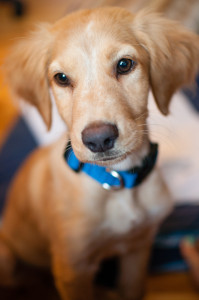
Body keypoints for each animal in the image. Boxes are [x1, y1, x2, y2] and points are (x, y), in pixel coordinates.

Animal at [0, 7, 199, 300]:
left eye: (124, 64)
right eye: (61, 78)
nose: (99, 139)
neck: (116, 181)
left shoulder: (138, 248)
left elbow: (132, 288)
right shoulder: (73, 268)